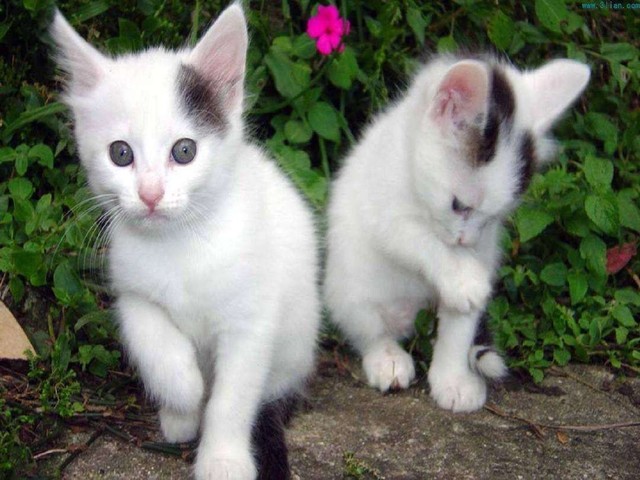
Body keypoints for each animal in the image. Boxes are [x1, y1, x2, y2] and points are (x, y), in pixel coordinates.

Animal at [51, 5, 321, 479]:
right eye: (121, 153)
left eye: (184, 151)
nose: (150, 194)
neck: (179, 242)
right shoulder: (132, 292)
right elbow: (154, 341)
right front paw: (184, 393)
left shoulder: (251, 321)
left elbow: (233, 397)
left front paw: (224, 458)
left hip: (296, 340)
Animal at [324, 54, 590, 412]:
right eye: (459, 205)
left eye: (493, 218)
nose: (467, 240)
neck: (409, 164)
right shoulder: (383, 209)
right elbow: (418, 239)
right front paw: (461, 275)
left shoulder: (484, 249)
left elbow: (460, 321)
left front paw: (452, 380)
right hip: (348, 287)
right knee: (369, 327)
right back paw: (387, 357)